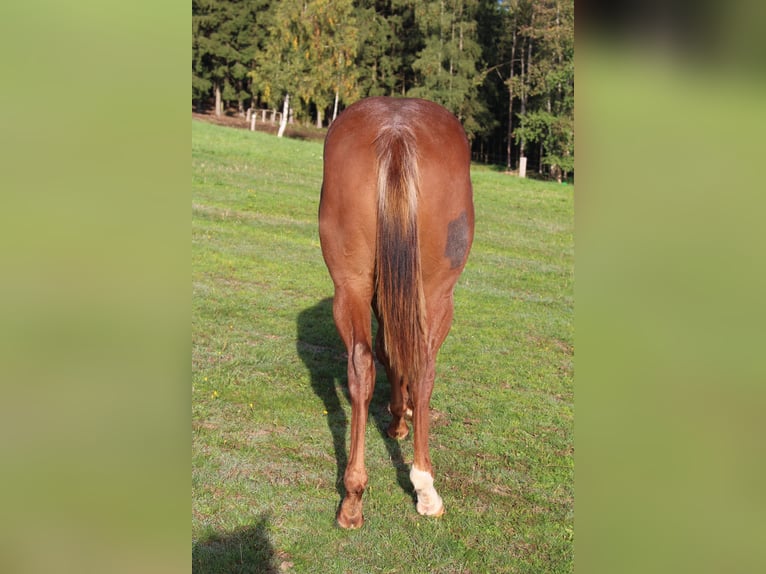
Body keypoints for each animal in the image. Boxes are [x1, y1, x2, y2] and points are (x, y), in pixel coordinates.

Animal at [318, 96, 474, 528]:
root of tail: (396, 131)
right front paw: (399, 418)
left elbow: (387, 350)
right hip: (438, 294)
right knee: (423, 367)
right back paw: (425, 488)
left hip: (350, 286)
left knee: (361, 364)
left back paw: (352, 496)